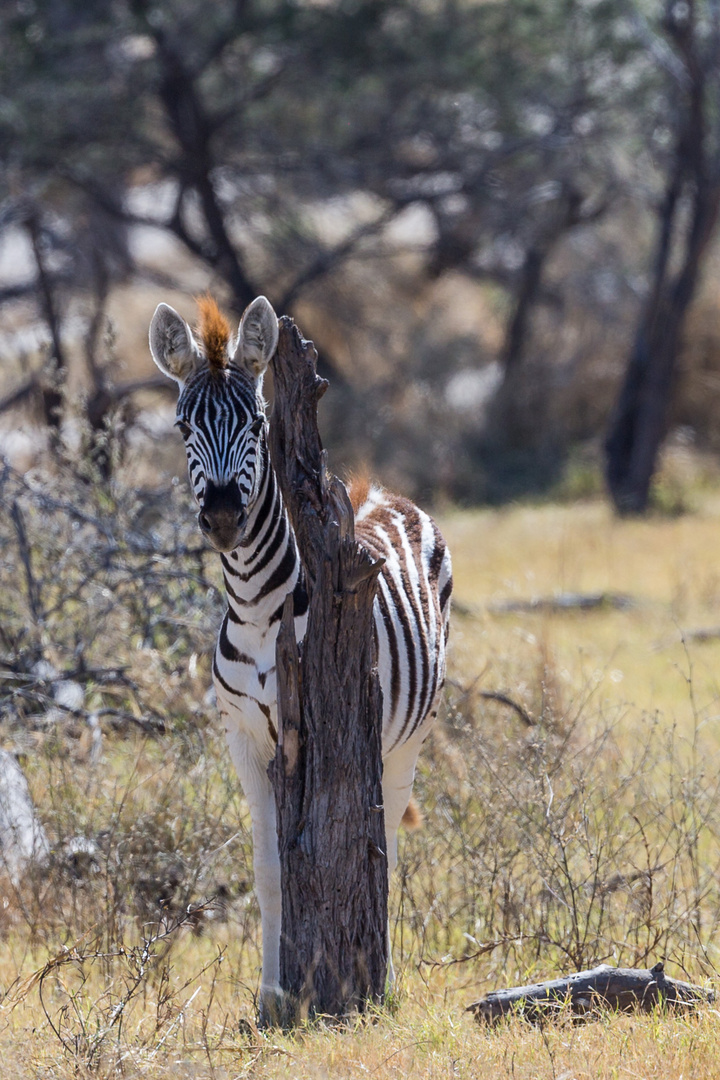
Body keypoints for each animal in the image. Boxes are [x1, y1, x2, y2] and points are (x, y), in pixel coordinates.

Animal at [147, 293, 451, 1010]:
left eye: (257, 424)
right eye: (182, 425)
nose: (223, 517)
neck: (260, 610)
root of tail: (378, 490)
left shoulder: (320, 721)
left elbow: (334, 849)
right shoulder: (240, 736)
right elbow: (269, 867)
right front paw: (272, 993)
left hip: (408, 733)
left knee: (384, 841)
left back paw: (382, 971)